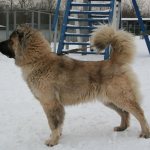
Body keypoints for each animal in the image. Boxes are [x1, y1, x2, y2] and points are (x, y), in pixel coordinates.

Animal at [0, 24, 149, 145]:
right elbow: (58, 124)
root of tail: (114, 61)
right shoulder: (54, 105)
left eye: (10, 40)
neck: (37, 60)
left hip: (120, 97)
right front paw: (57, 137)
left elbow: (53, 124)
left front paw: (52, 141)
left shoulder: (50, 103)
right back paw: (122, 127)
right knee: (125, 113)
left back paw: (145, 133)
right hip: (109, 100)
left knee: (139, 112)